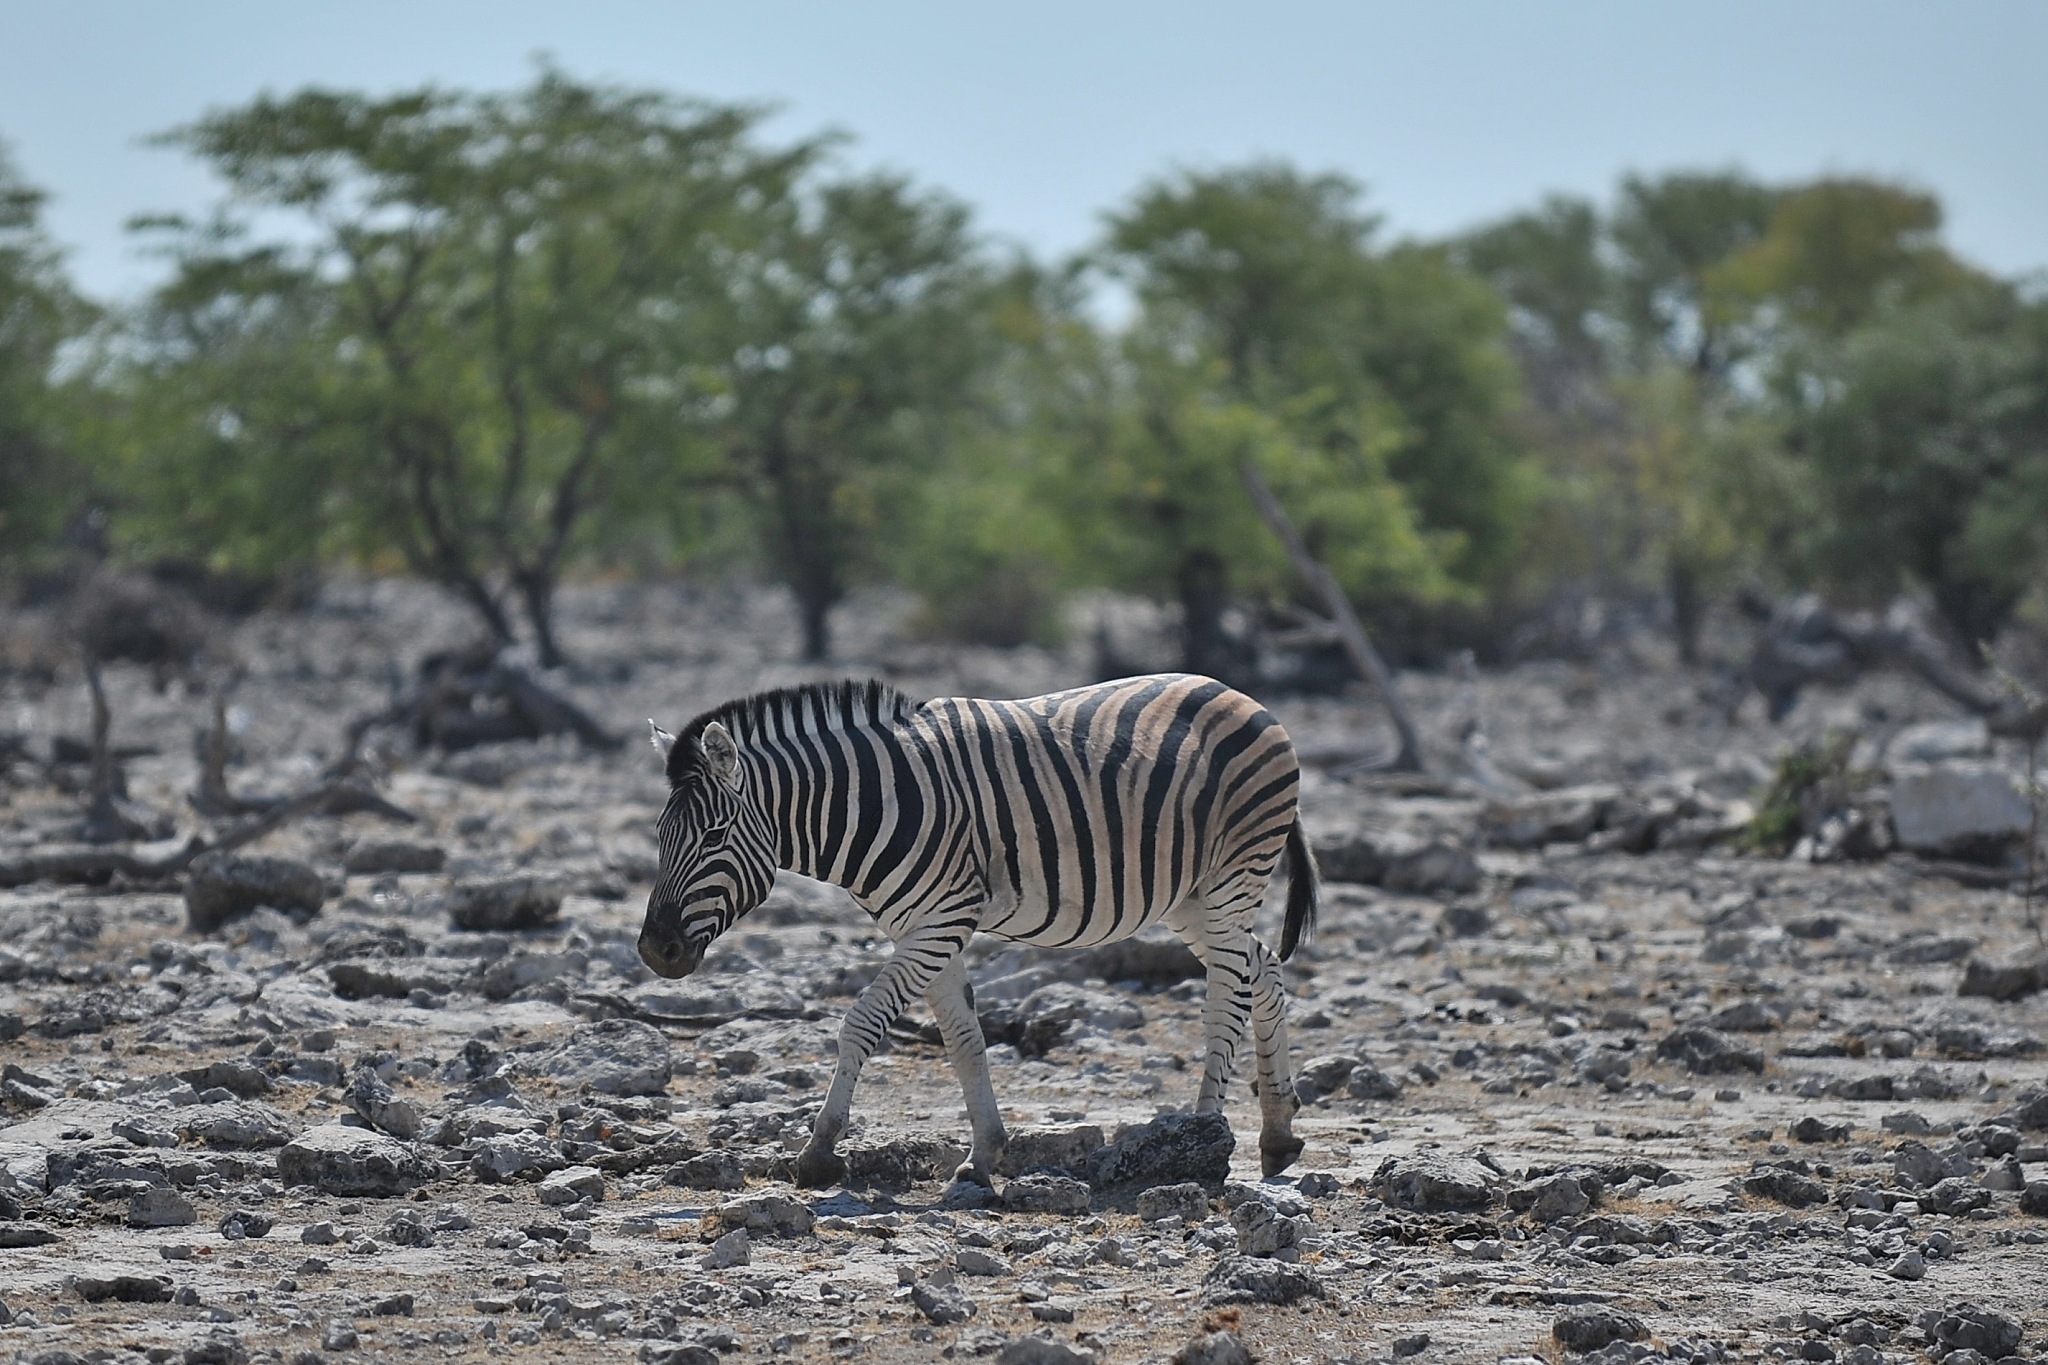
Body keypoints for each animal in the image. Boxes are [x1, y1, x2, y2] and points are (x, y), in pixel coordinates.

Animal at [638, 673, 1318, 1189]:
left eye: (714, 836)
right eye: (660, 836)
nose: (653, 950)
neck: (872, 803)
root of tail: (1239, 694)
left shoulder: (944, 916)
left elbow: (861, 1020)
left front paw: (819, 1153)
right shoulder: (920, 923)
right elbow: (964, 1040)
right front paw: (982, 1156)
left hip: (1233, 874)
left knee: (1227, 994)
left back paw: (1203, 1138)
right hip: (1188, 896)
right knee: (1262, 966)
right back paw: (1277, 1132)